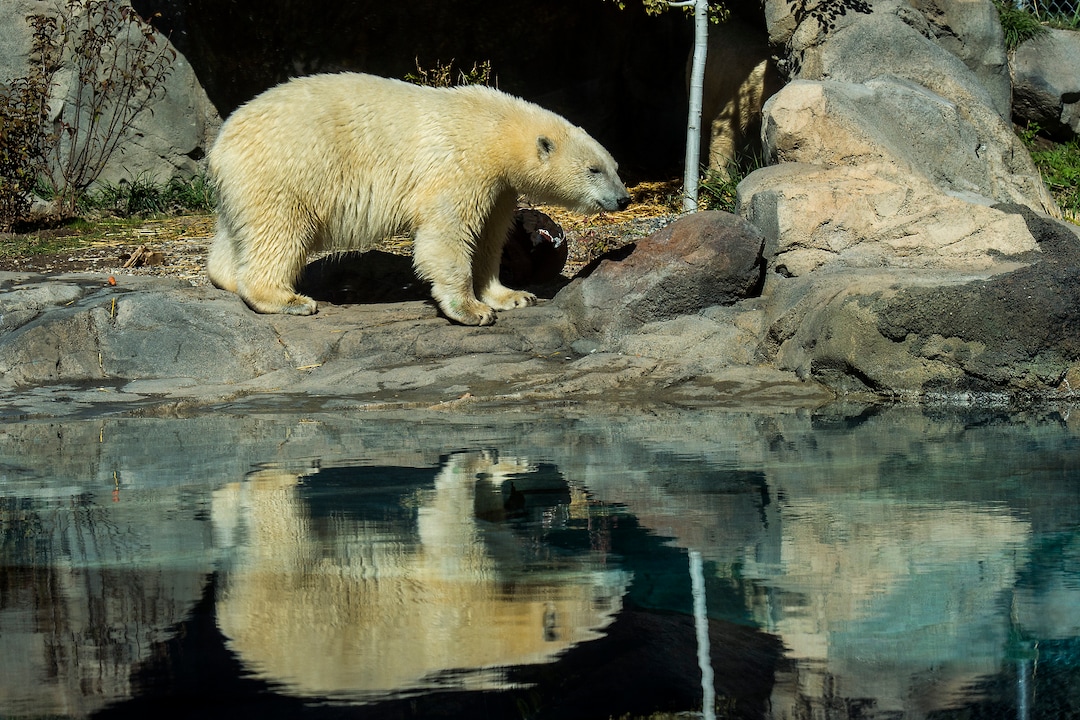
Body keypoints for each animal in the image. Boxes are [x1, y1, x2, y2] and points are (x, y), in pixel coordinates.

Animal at [206, 72, 631, 326]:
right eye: (594, 169)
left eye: (615, 167)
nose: (623, 199)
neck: (495, 127)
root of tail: (222, 141)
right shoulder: (460, 164)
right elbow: (447, 235)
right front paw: (471, 310)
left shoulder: (499, 186)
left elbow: (489, 237)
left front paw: (511, 296)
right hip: (287, 170)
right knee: (280, 231)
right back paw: (288, 299)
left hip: (248, 182)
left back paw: (227, 277)